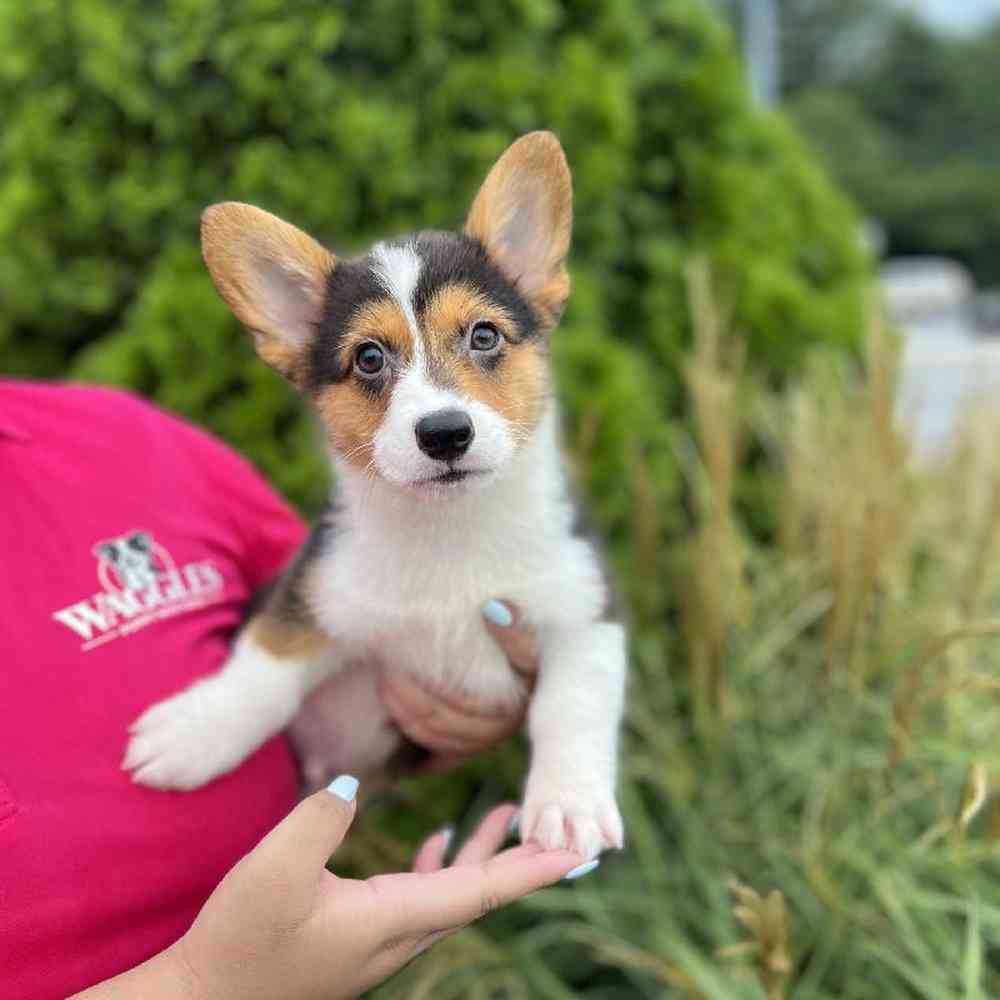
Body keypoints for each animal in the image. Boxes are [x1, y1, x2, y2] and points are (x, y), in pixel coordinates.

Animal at [123, 129, 624, 856]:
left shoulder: (585, 607)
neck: (448, 531)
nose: (444, 434)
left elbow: (575, 702)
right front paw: (194, 731)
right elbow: (263, 669)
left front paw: (568, 803)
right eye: (368, 358)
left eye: (484, 335)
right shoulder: (313, 592)